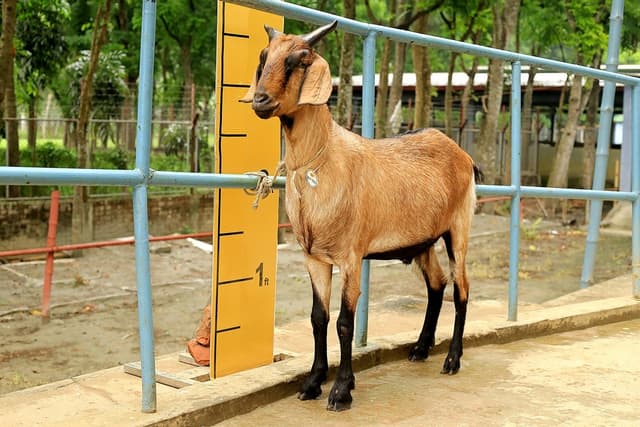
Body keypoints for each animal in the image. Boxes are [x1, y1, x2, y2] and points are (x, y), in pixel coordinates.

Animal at [240, 21, 479, 412]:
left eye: (299, 60)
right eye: (264, 56)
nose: (261, 100)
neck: (322, 161)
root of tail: (462, 154)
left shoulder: (350, 256)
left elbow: (344, 323)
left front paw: (341, 390)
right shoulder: (314, 257)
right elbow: (318, 318)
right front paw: (312, 382)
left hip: (458, 228)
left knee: (461, 288)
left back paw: (452, 359)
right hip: (424, 240)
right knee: (437, 283)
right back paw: (420, 347)